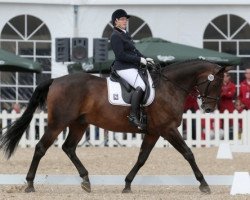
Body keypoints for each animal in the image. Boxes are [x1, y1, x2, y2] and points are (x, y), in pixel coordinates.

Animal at [0, 59, 230, 194]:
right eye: (218, 83)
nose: (209, 108)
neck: (169, 87)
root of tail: (55, 80)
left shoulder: (154, 132)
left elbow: (142, 158)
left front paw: (127, 184)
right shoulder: (168, 130)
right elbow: (188, 153)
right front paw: (204, 183)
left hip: (79, 124)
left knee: (69, 148)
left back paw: (86, 180)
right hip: (58, 123)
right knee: (41, 148)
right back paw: (30, 184)